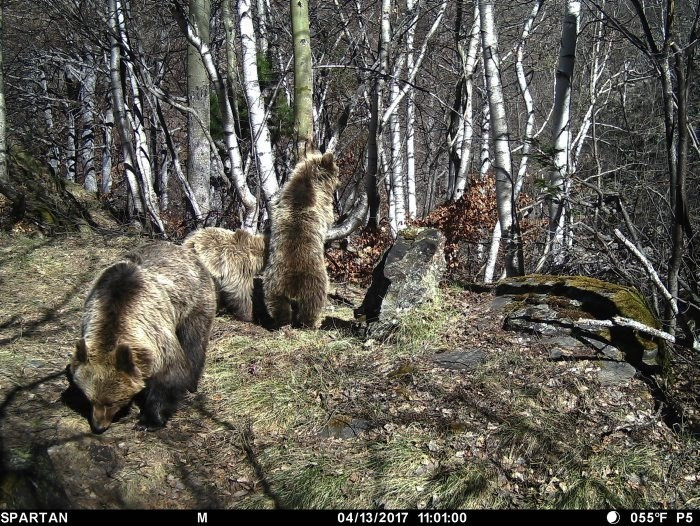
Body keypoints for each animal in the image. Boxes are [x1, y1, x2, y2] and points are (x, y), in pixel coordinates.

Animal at [69, 241, 216, 436]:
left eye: (112, 402)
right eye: (90, 399)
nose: (98, 426)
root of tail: (183, 249)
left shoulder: (156, 335)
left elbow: (170, 374)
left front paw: (149, 420)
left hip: (194, 302)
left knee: (193, 342)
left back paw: (192, 382)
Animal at [262, 151, 340, 328]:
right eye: (336, 169)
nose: (340, 182)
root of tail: (293, 283)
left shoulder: (283, 197)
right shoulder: (321, 201)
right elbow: (328, 214)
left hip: (274, 281)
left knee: (277, 302)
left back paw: (281, 321)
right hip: (315, 279)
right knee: (312, 303)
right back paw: (312, 323)